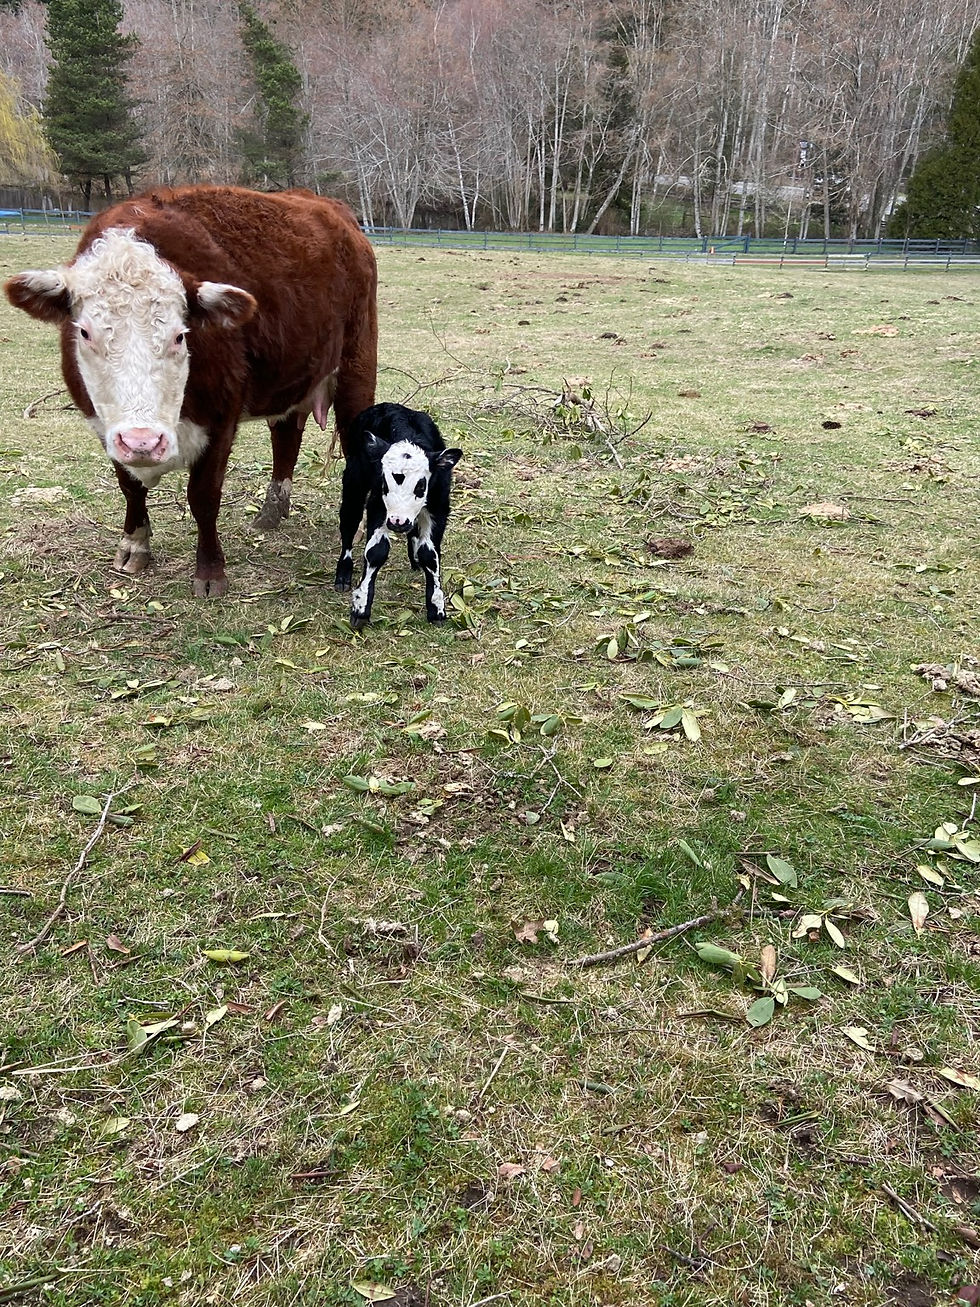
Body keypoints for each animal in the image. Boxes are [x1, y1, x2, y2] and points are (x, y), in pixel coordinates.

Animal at [4, 185, 377, 596]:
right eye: (85, 332)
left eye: (180, 335)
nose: (143, 441)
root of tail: (326, 205)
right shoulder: (104, 425)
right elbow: (129, 486)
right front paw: (134, 545)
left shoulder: (221, 418)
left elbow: (203, 496)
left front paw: (210, 571)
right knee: (286, 437)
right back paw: (271, 510)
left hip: (357, 368)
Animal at [333, 403, 463, 630]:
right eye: (385, 483)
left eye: (420, 486)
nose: (398, 522)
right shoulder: (378, 506)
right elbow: (376, 551)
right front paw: (360, 609)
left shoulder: (439, 508)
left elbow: (431, 555)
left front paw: (437, 608)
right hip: (354, 482)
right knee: (349, 522)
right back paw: (343, 575)